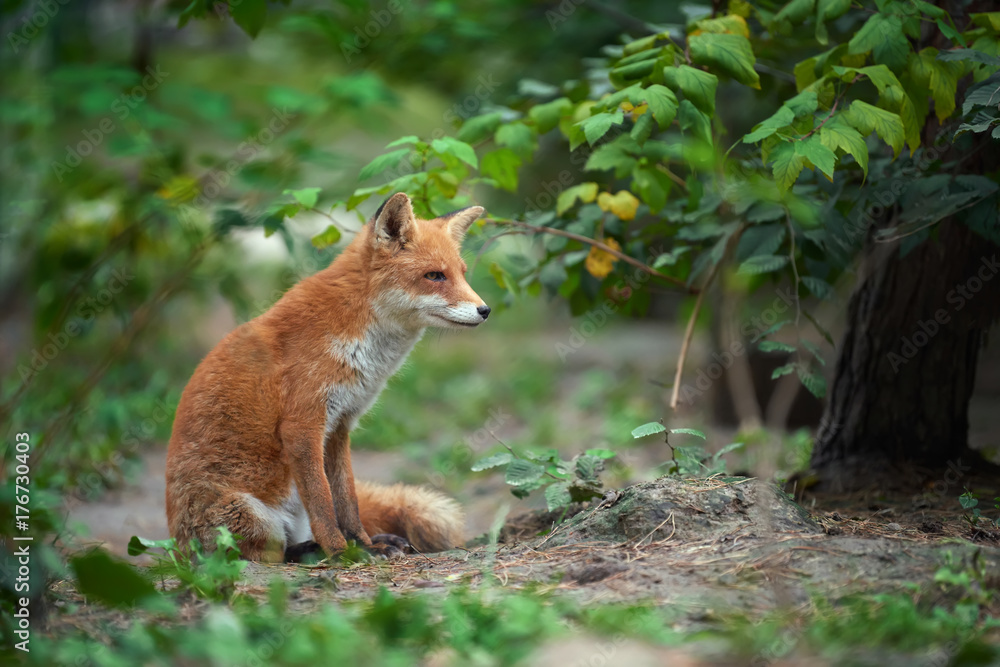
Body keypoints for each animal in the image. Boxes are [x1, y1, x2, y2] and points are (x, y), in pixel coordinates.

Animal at [165, 192, 490, 561]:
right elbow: (322, 502)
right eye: (434, 275)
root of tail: (178, 548)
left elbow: (346, 498)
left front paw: (363, 544)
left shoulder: (339, 426)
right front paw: (341, 552)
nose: (485, 310)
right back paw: (314, 551)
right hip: (253, 517)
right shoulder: (302, 426)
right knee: (264, 556)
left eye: (462, 274)